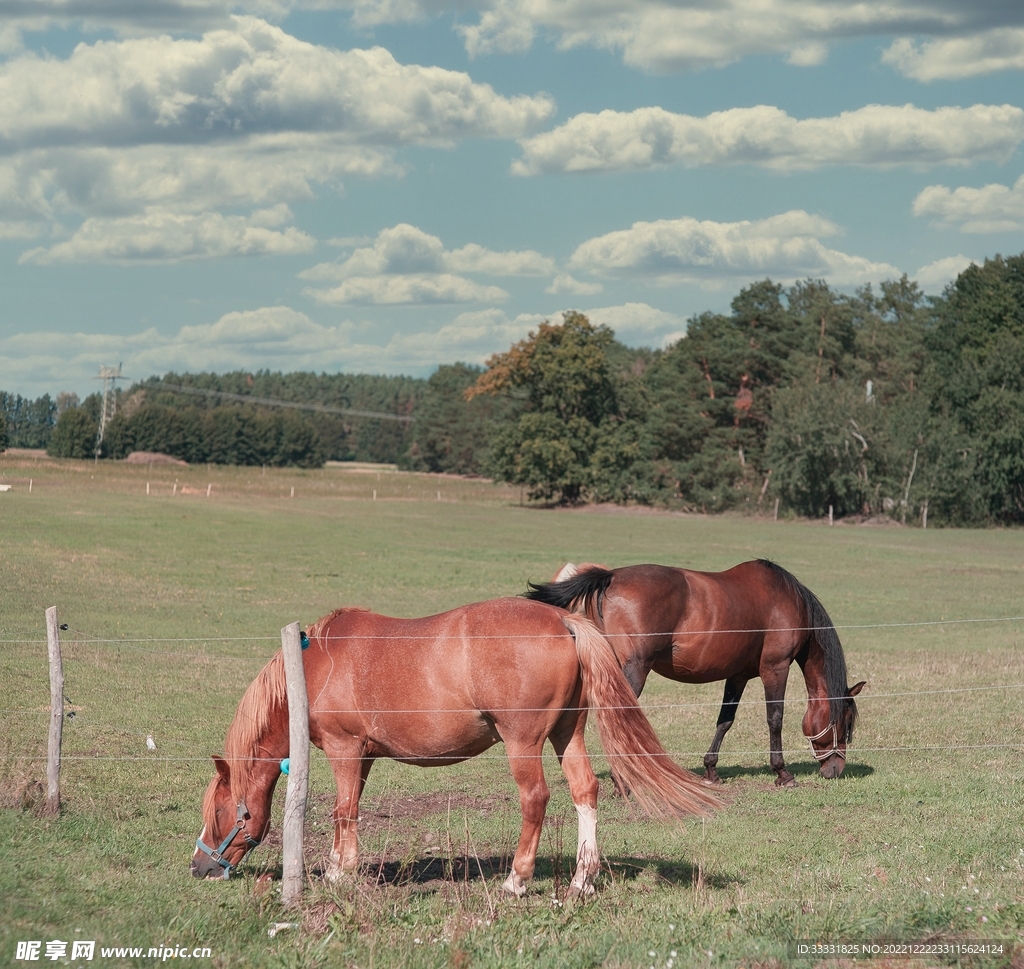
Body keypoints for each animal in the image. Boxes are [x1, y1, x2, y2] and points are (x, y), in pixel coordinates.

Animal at [191, 597, 719, 899]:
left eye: (220, 812)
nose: (200, 867)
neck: (314, 666)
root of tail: (563, 619)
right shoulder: (363, 757)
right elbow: (351, 806)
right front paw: (342, 866)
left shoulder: (344, 750)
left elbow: (343, 810)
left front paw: (340, 874)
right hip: (567, 734)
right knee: (585, 791)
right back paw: (581, 880)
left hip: (523, 742)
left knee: (536, 799)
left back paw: (516, 880)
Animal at [525, 561, 865, 787]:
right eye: (846, 723)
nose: (836, 769)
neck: (786, 601)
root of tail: (611, 576)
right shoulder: (775, 668)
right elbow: (775, 718)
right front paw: (782, 773)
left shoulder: (738, 676)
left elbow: (725, 720)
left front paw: (711, 770)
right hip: (633, 670)